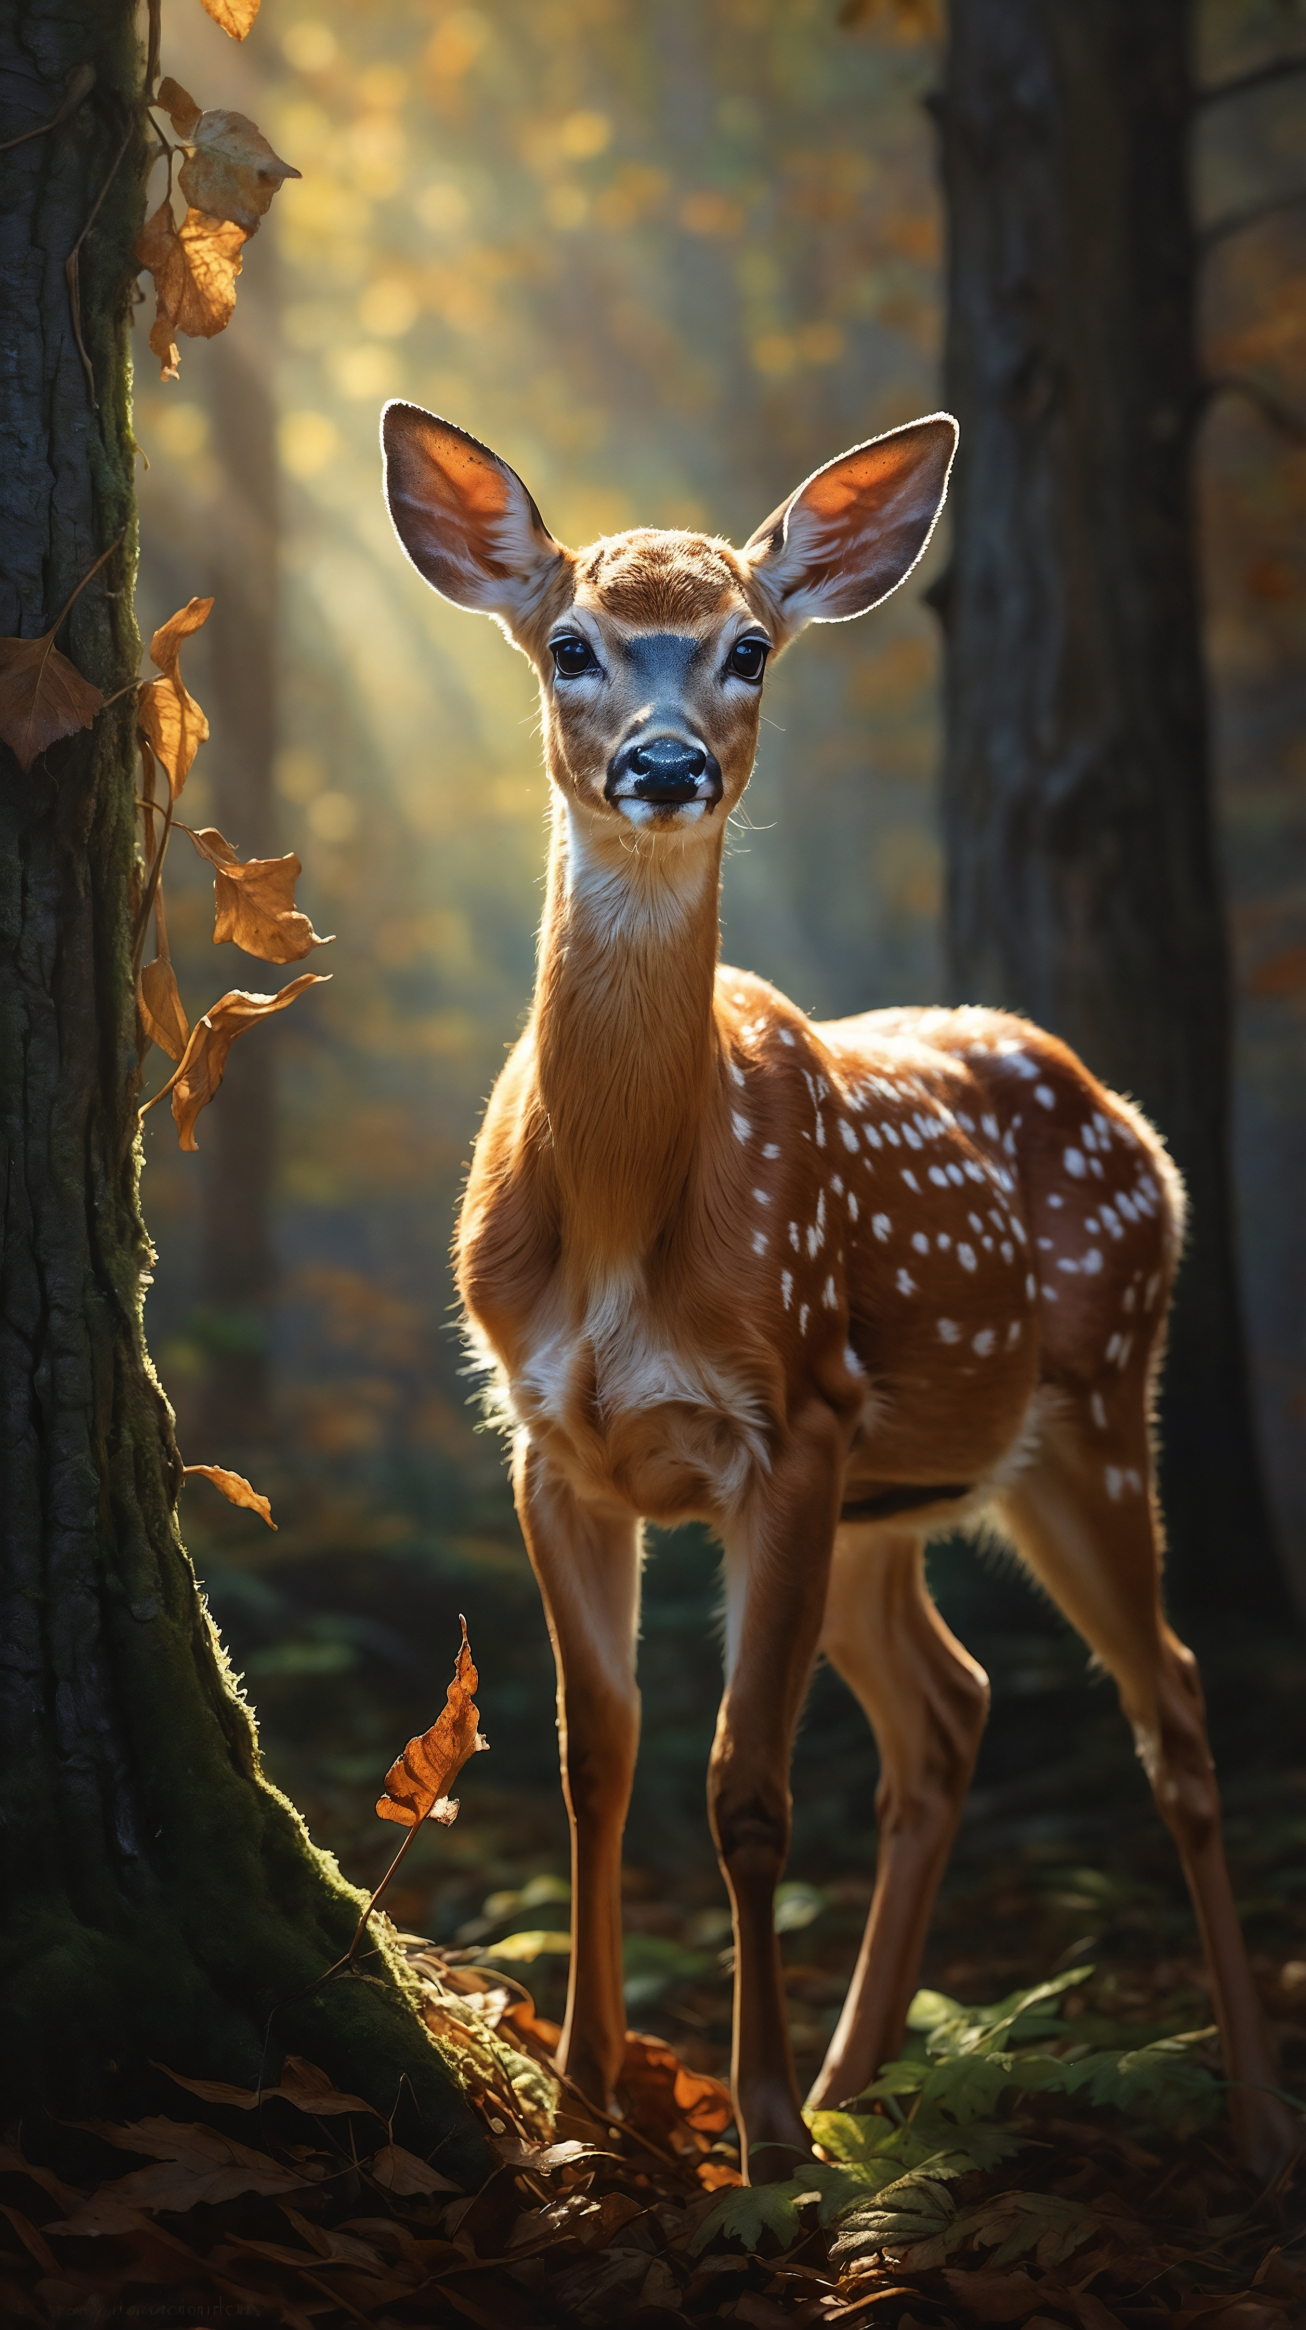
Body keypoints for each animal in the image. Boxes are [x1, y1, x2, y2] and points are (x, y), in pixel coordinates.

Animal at [381, 400, 1295, 2184]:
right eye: (569, 644)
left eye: (748, 647)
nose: (665, 764)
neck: (627, 1222)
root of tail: (1134, 1123)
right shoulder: (546, 1439)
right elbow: (596, 1756)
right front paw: (587, 2111)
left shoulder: (788, 1416)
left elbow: (745, 1787)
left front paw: (752, 2142)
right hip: (897, 1496)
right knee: (948, 1710)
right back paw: (852, 2082)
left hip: (1090, 1410)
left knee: (1173, 1702)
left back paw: (1244, 2111)